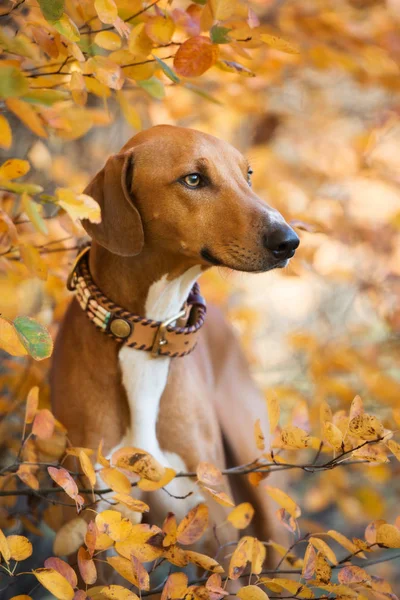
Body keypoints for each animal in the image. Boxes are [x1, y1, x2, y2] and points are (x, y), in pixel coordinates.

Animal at [50, 125, 298, 556]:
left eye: (247, 175)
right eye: (193, 179)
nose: (289, 241)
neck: (149, 333)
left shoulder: (212, 536)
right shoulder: (98, 530)